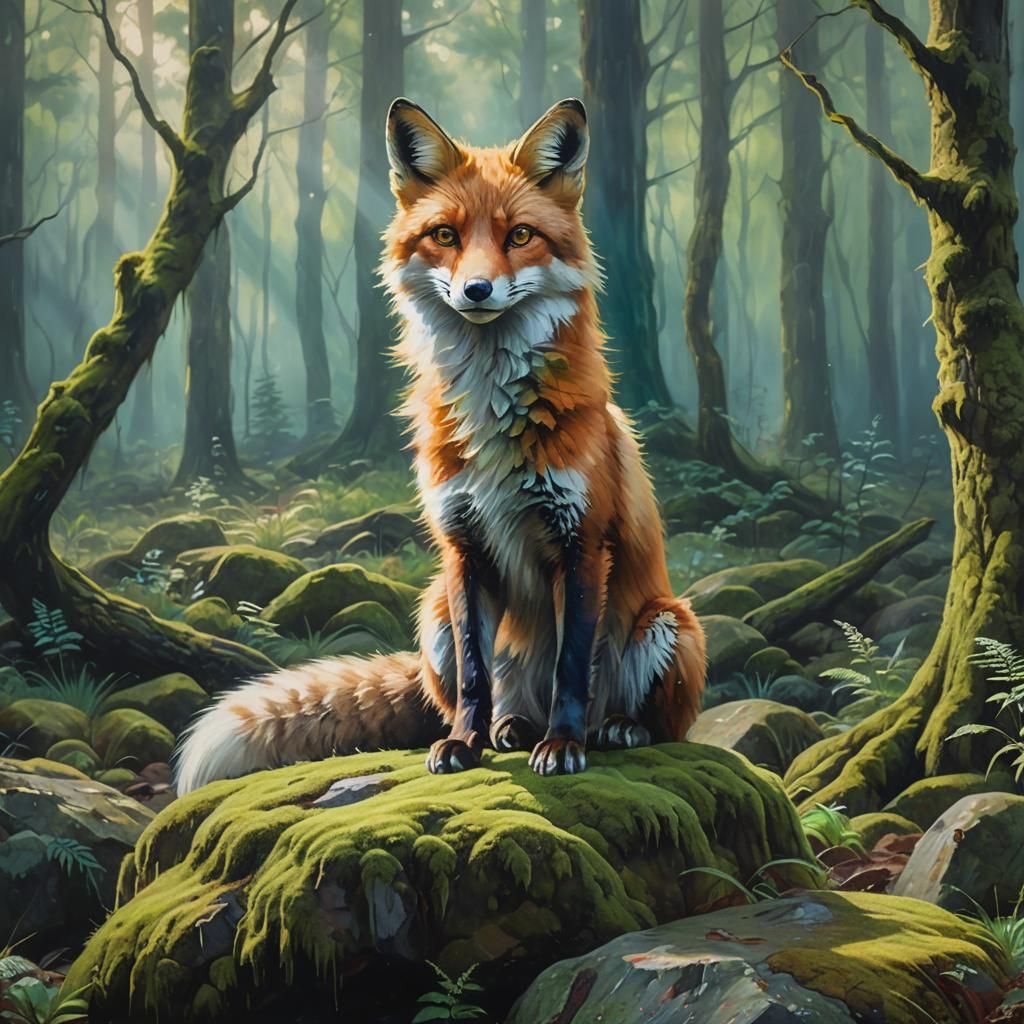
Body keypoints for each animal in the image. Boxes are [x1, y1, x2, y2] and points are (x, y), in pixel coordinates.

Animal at [174, 97, 705, 794]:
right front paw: (463, 744)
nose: (476, 290)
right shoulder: (463, 545)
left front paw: (563, 746)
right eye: (446, 236)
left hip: (668, 623)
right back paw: (509, 729)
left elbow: (570, 667)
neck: (492, 413)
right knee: (486, 694)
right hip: (435, 616)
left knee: (656, 719)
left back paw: (612, 729)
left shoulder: (582, 542)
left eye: (520, 236)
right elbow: (477, 678)